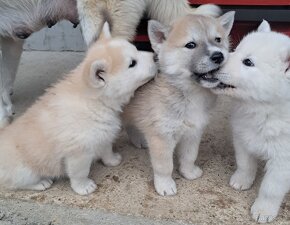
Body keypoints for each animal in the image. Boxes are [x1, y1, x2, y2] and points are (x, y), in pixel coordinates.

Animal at [0, 21, 156, 195]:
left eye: (136, 49)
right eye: (132, 64)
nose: (155, 56)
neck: (94, 101)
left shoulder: (103, 134)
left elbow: (106, 149)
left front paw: (112, 160)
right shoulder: (78, 153)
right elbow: (80, 173)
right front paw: (83, 187)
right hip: (24, 170)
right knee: (17, 183)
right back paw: (41, 183)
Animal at [123, 11, 236, 195]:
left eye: (218, 39)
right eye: (191, 45)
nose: (218, 56)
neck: (189, 94)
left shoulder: (193, 132)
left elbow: (190, 156)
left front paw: (188, 172)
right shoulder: (162, 138)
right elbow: (164, 166)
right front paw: (165, 185)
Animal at [211, 20, 290, 222]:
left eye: (248, 62)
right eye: (236, 49)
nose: (217, 58)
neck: (263, 110)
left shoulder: (283, 158)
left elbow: (271, 188)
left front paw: (263, 211)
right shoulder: (242, 137)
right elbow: (245, 164)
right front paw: (241, 181)